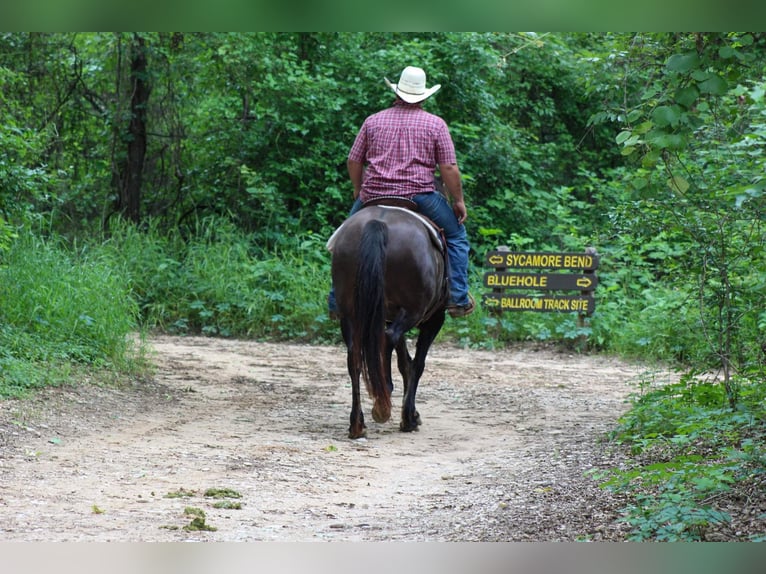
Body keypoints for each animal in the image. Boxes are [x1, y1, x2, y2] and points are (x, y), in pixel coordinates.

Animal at [330, 207, 450, 440]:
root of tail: (379, 222)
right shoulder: (434, 318)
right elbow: (417, 364)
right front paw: (409, 417)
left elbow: (405, 362)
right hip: (413, 311)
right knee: (389, 338)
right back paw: (383, 401)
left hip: (350, 313)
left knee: (354, 356)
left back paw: (357, 424)